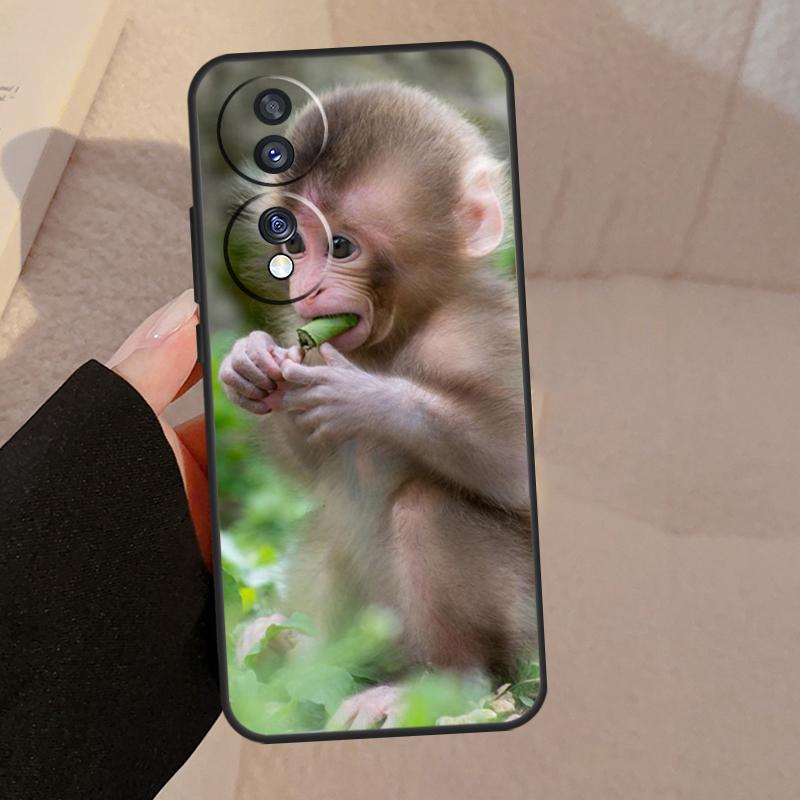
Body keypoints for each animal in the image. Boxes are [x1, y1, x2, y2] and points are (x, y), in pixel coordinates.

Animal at [219, 83, 537, 728]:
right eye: (290, 240)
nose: (304, 286)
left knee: (424, 508)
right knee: (330, 519)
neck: (407, 326)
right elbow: (311, 464)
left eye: (341, 246)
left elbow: (515, 460)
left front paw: (365, 397)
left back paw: (444, 682)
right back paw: (291, 648)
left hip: (518, 631)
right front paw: (250, 363)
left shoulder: (480, 333)